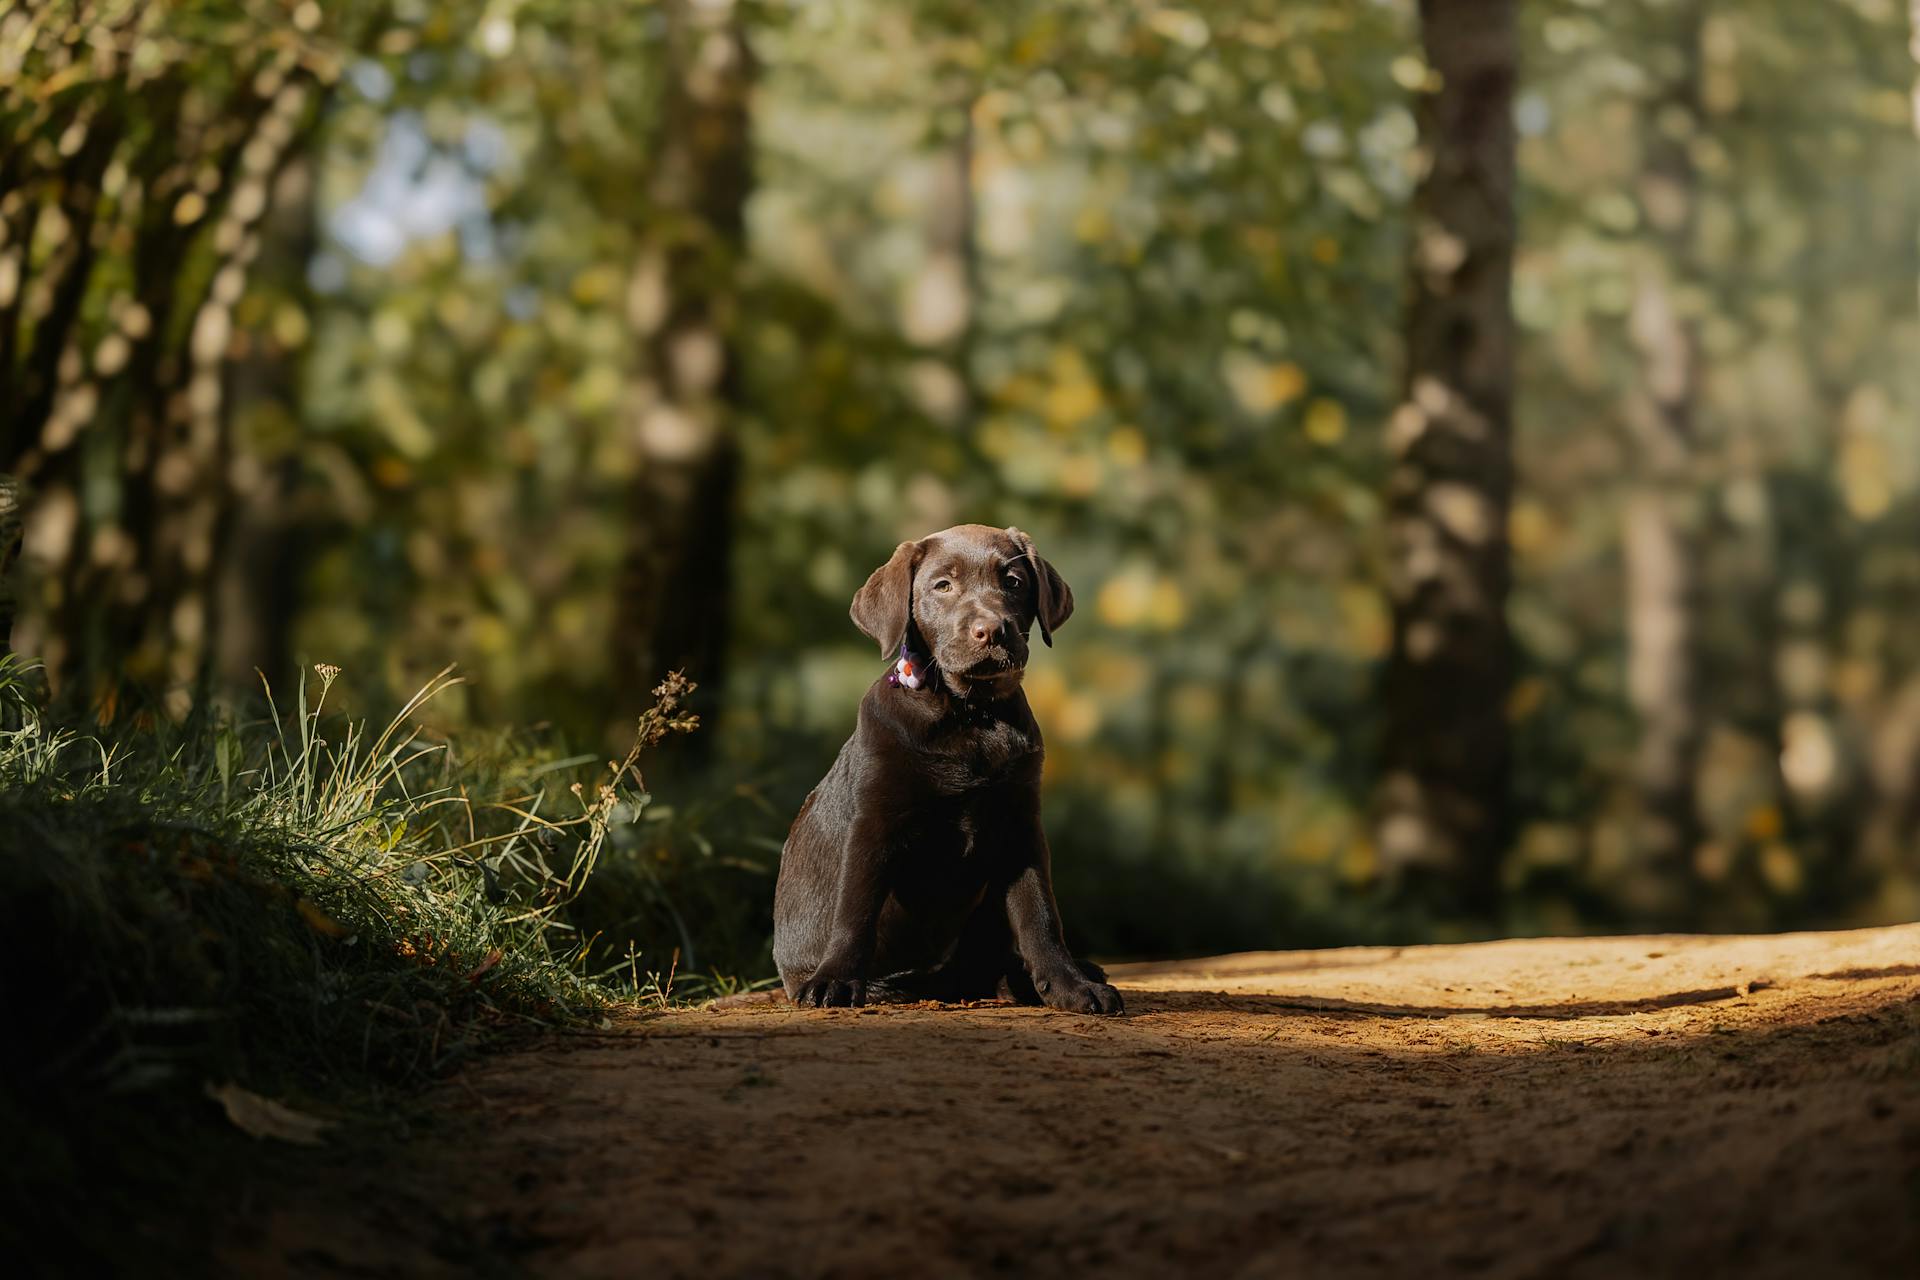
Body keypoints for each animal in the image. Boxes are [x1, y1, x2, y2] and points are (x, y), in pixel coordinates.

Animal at [768, 525, 1121, 1013]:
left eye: (1013, 582)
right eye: (943, 586)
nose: (991, 630)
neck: (970, 714)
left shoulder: (1020, 825)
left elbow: (1041, 915)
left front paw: (1070, 985)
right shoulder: (873, 823)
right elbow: (855, 908)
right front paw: (834, 980)